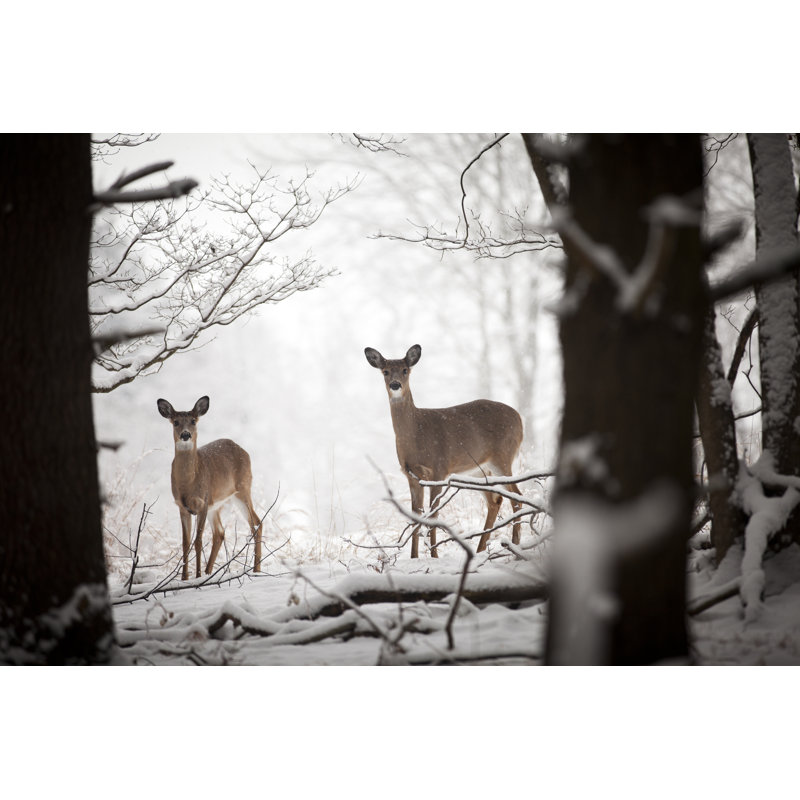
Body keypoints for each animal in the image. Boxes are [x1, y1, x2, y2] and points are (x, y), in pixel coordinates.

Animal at [156, 395, 263, 581]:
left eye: (193, 420)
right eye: (176, 422)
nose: (186, 434)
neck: (188, 483)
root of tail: (243, 450)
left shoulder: (203, 502)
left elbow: (198, 541)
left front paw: (197, 576)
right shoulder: (182, 506)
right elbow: (185, 542)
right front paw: (185, 578)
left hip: (243, 489)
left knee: (256, 523)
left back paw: (256, 571)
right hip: (218, 503)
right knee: (220, 532)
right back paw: (209, 572)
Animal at [364, 344, 523, 558]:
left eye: (405, 370)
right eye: (385, 371)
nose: (395, 385)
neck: (417, 432)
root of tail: (520, 418)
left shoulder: (439, 468)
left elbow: (434, 514)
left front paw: (434, 556)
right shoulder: (411, 475)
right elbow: (416, 515)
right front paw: (414, 557)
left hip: (502, 457)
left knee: (517, 498)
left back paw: (515, 546)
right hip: (480, 470)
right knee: (495, 501)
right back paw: (480, 550)